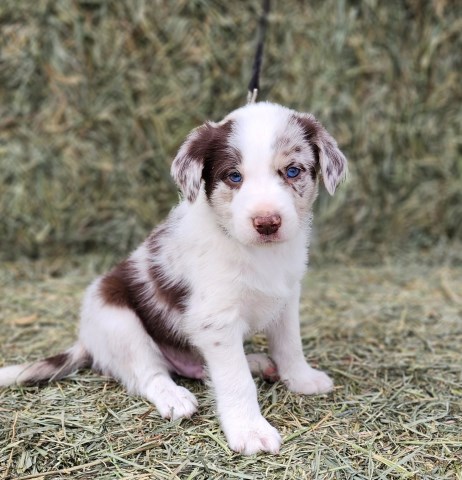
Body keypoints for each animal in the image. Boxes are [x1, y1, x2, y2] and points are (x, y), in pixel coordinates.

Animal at [0, 100, 346, 454]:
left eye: (293, 171)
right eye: (234, 176)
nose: (267, 223)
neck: (257, 252)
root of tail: (87, 342)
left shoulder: (287, 298)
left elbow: (290, 344)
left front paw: (301, 378)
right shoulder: (216, 320)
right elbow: (235, 380)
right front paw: (250, 430)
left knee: (201, 368)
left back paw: (257, 362)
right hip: (116, 318)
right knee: (149, 373)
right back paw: (174, 396)